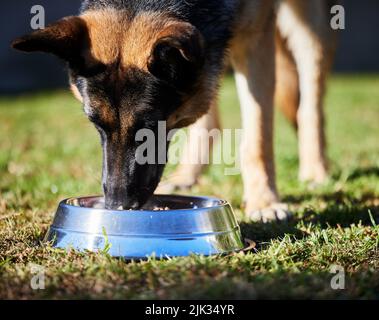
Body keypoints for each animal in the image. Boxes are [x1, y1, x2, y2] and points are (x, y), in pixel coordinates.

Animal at [11, 0, 338, 221]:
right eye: (96, 124)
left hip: (307, 24)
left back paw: (315, 168)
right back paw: (188, 173)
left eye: (148, 127)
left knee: (311, 96)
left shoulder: (255, 36)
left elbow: (257, 135)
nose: (117, 205)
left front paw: (264, 202)